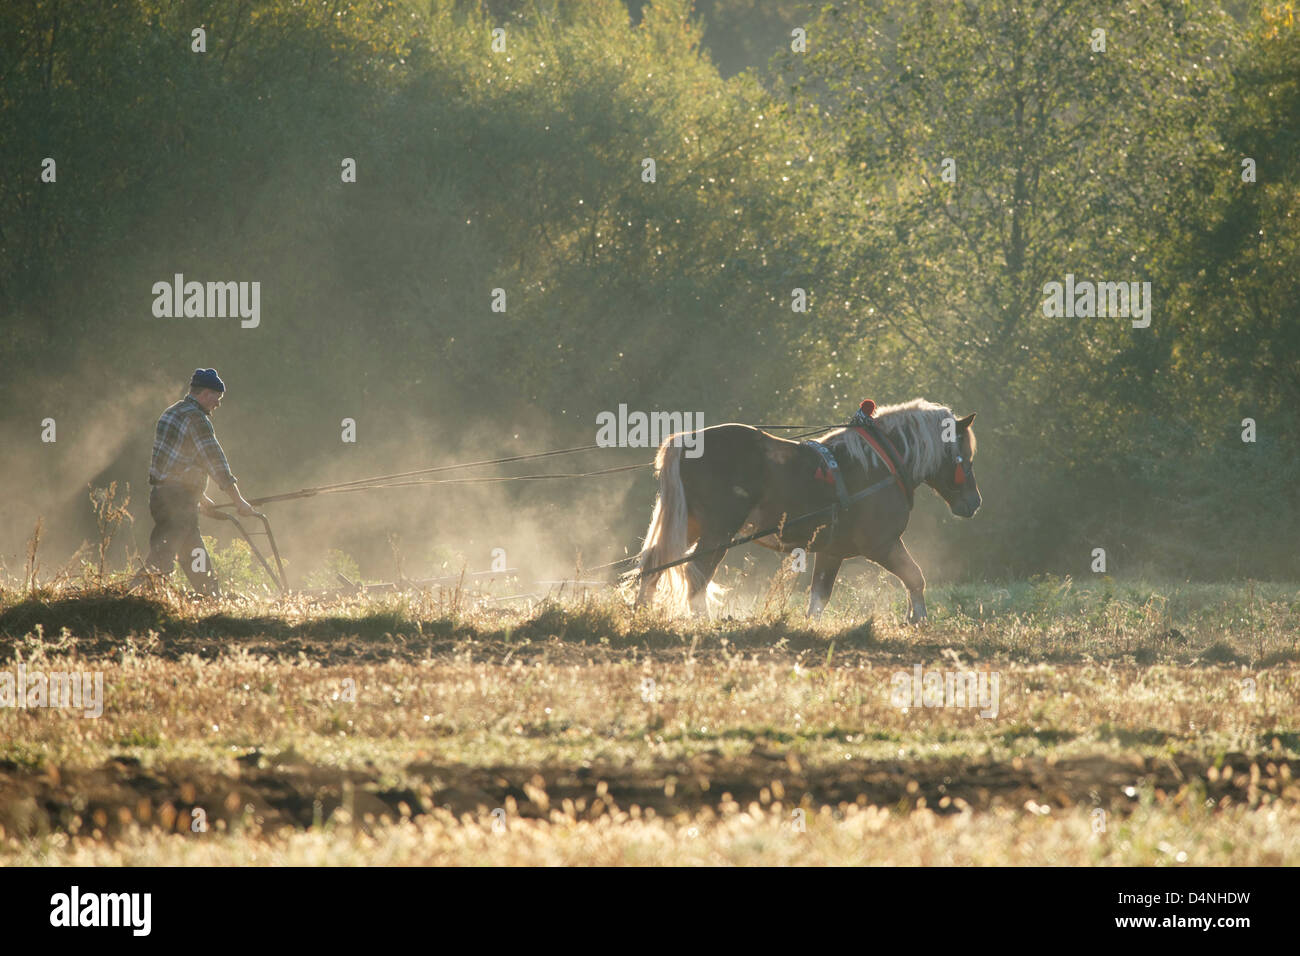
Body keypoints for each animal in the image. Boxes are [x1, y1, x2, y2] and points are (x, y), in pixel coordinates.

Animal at [624, 395, 977, 621]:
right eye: (965, 456)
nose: (974, 502)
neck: (881, 463)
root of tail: (687, 440)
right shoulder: (882, 545)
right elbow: (915, 576)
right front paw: (918, 619)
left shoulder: (832, 552)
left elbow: (818, 600)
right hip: (717, 531)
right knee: (695, 574)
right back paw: (701, 621)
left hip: (691, 525)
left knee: (654, 564)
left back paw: (641, 612)